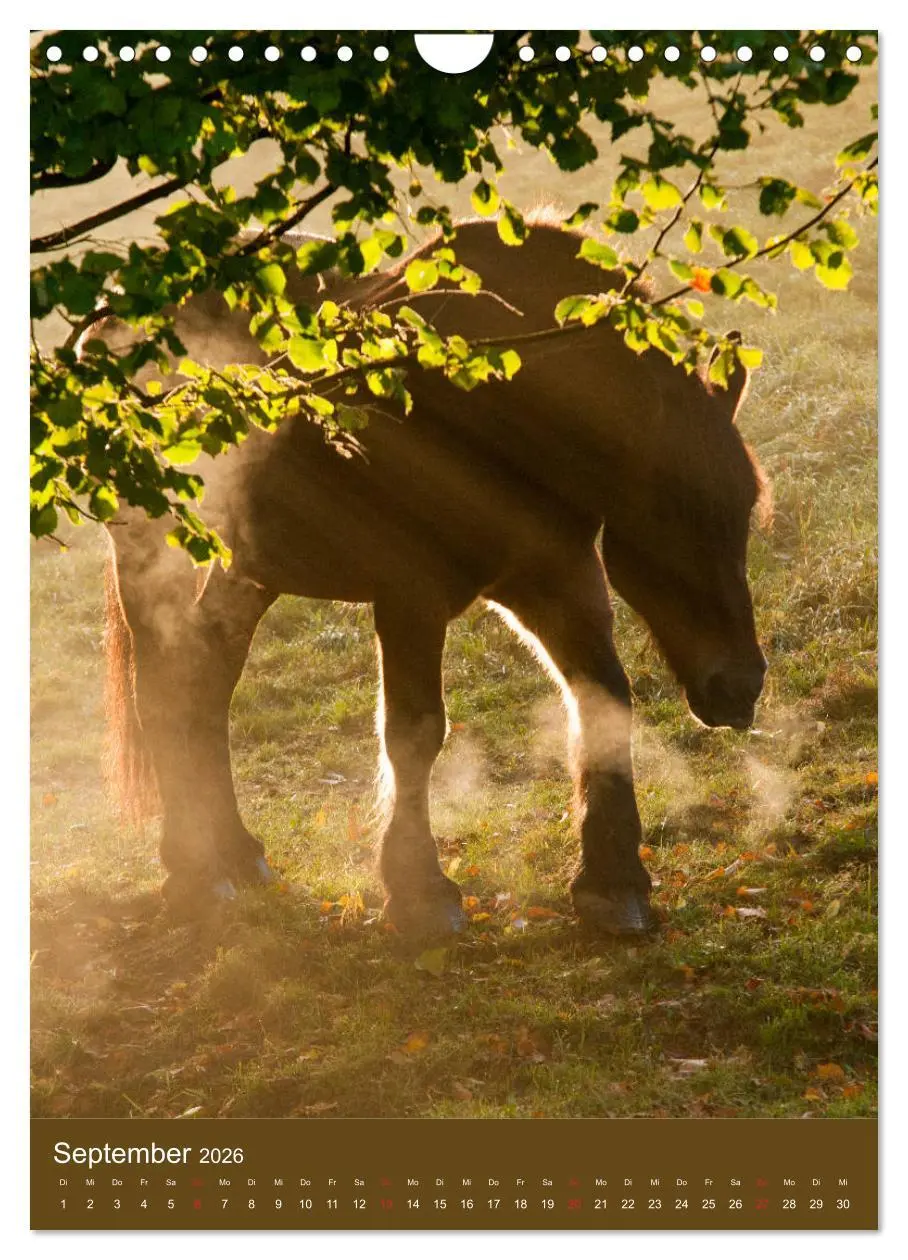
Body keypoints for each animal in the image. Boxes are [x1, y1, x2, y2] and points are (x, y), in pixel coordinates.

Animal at [101, 213, 770, 938]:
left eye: (744, 509)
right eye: (670, 510)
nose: (741, 686)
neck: (507, 403)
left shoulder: (558, 581)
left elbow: (603, 705)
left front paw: (611, 881)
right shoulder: (409, 598)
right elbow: (415, 734)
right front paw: (419, 891)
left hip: (244, 572)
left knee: (205, 687)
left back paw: (234, 852)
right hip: (155, 563)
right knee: (164, 693)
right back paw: (192, 870)